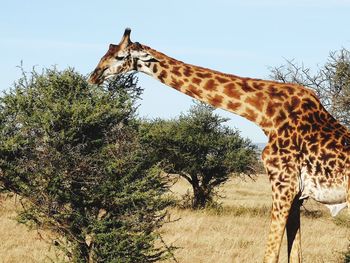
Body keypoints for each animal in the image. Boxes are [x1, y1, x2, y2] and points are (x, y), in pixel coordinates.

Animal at [89, 27, 348, 262]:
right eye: (106, 51)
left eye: (119, 56)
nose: (93, 76)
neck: (265, 115)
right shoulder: (297, 195)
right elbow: (295, 254)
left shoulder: (283, 185)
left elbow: (270, 255)